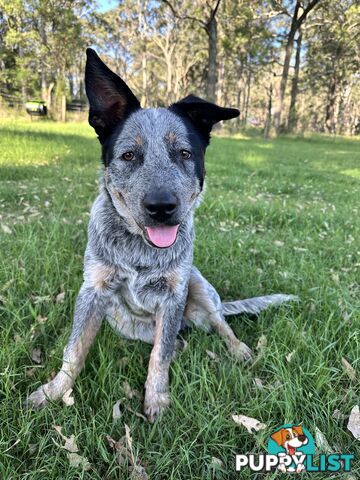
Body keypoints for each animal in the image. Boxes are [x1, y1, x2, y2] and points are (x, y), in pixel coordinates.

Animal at [26, 50, 296, 422]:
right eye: (129, 155)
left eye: (184, 153)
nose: (161, 206)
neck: (140, 250)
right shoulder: (93, 291)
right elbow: (75, 348)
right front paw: (54, 391)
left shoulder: (173, 296)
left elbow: (159, 356)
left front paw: (157, 399)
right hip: (126, 322)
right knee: (173, 340)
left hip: (197, 285)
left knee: (217, 323)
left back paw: (237, 348)